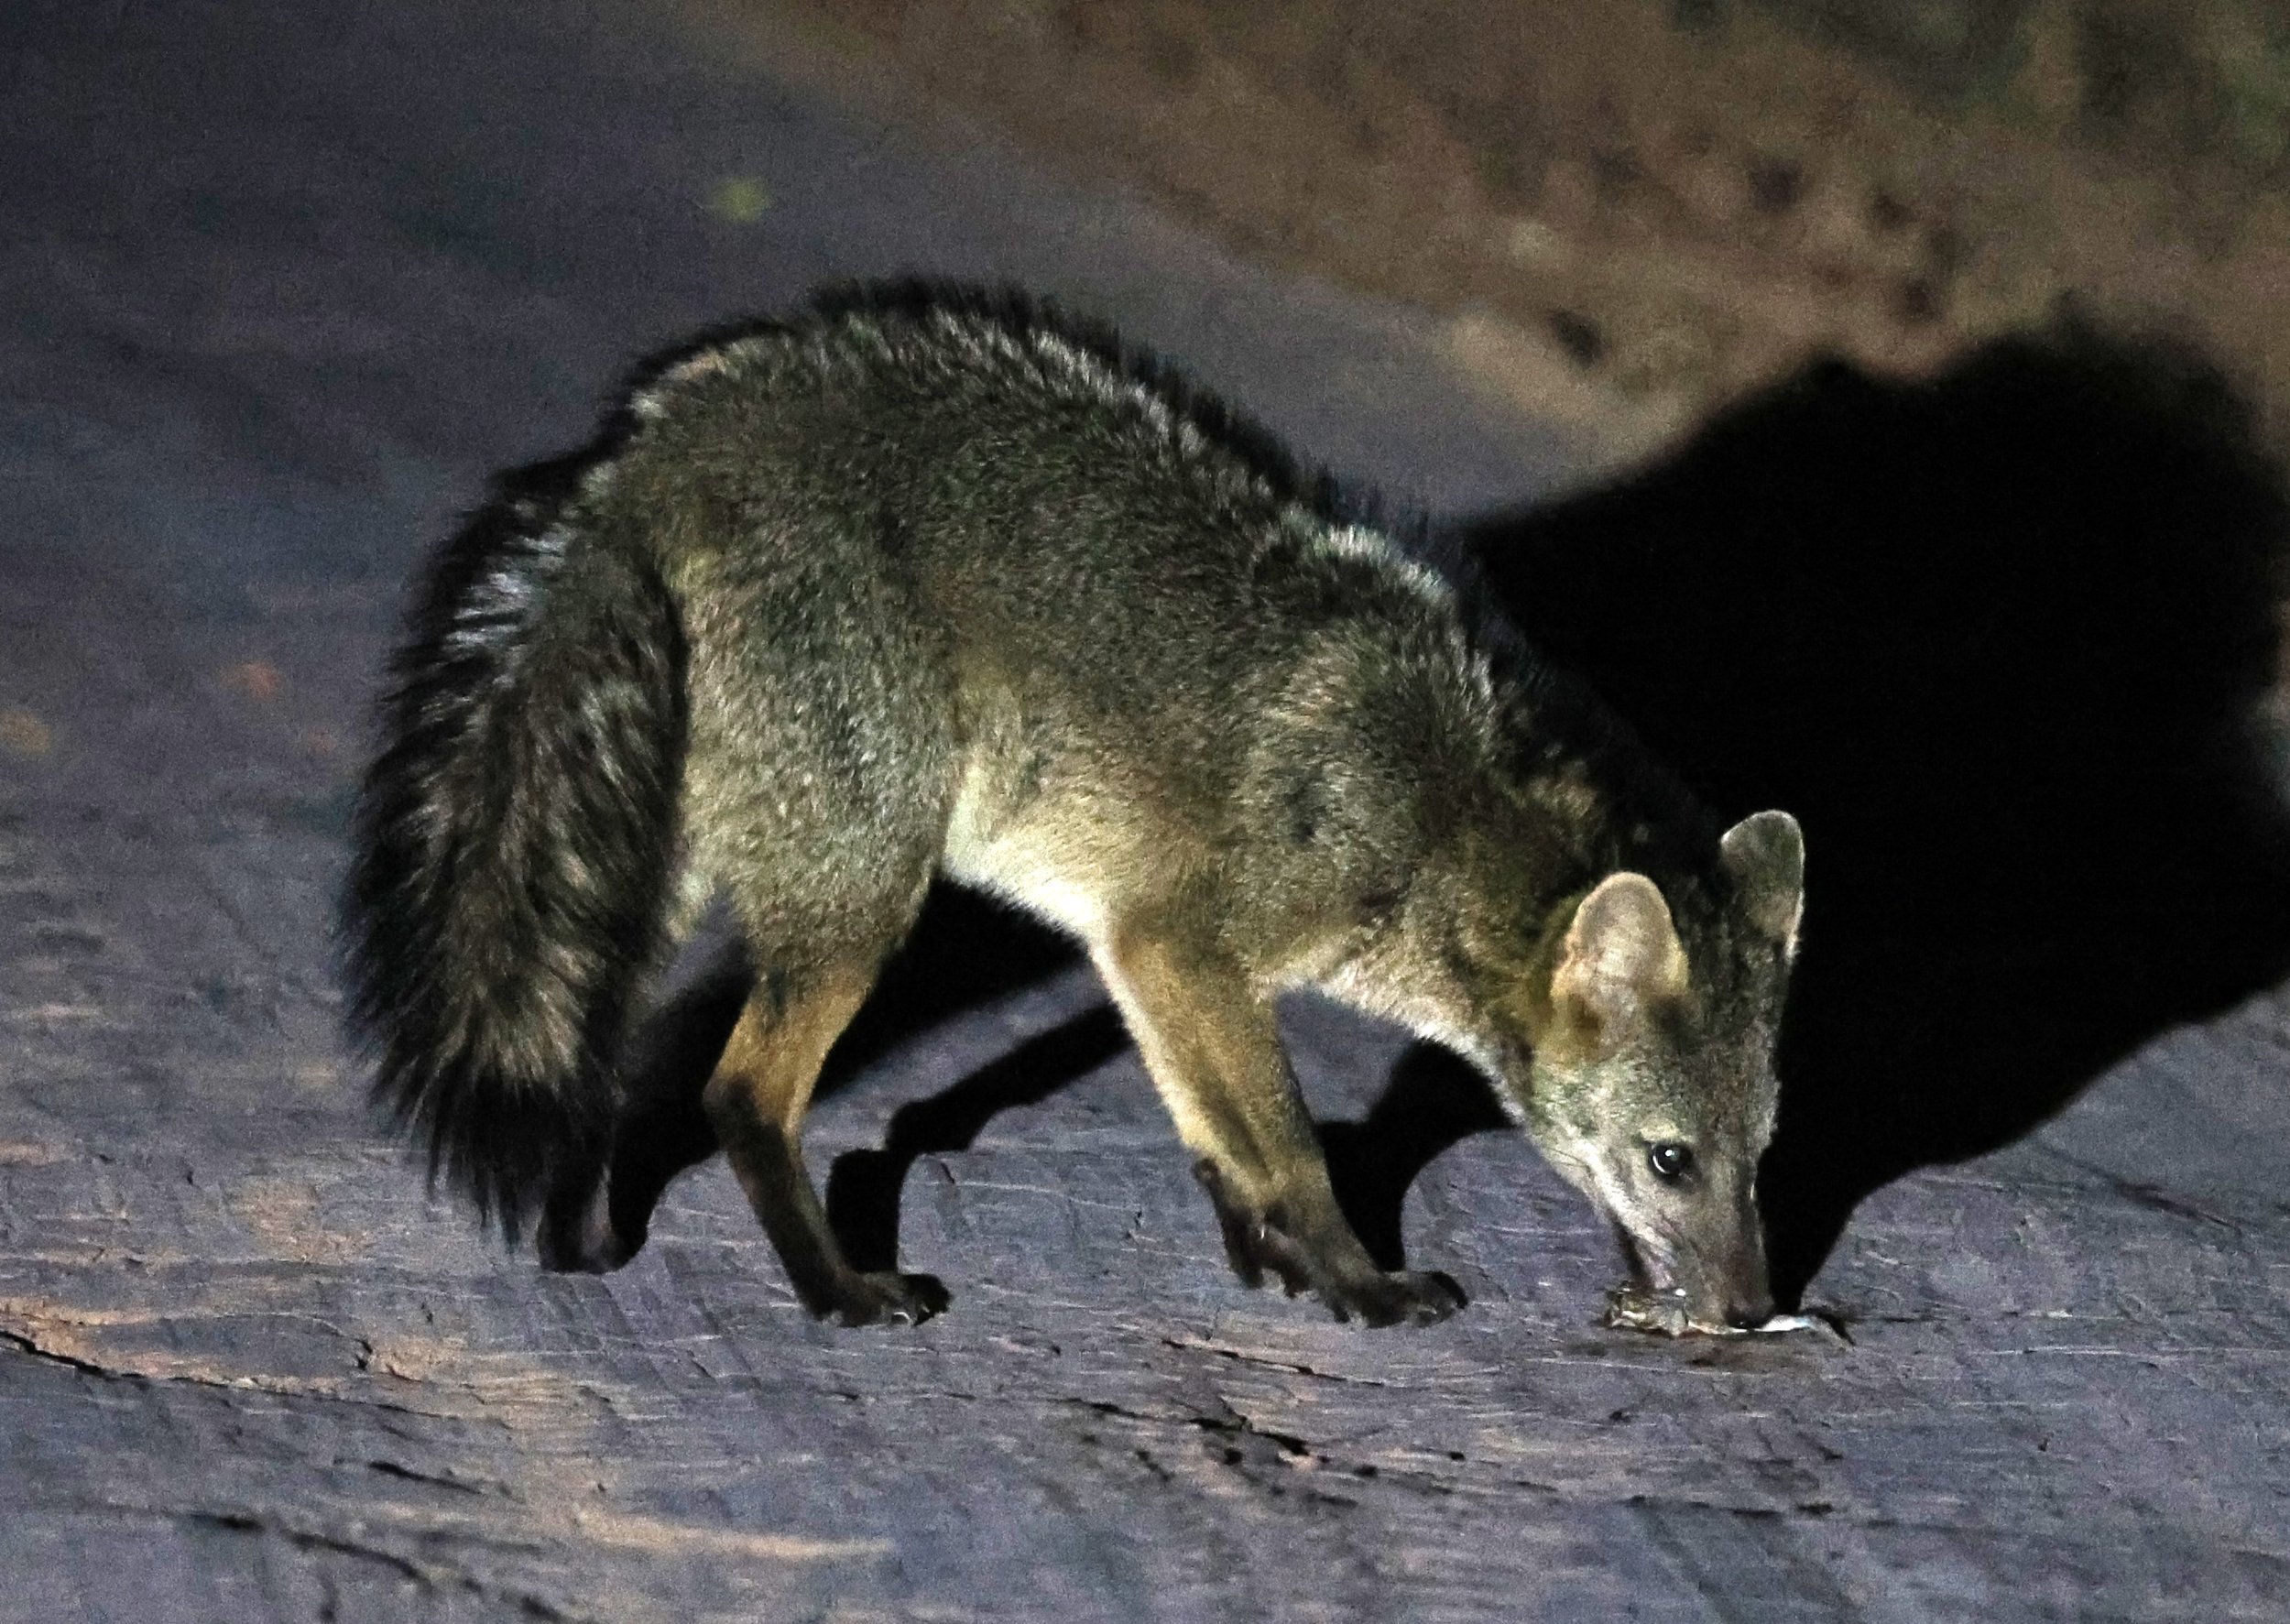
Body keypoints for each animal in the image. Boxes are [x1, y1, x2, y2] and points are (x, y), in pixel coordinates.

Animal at [344, 283, 1804, 1333]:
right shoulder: (1187, 942)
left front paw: (1274, 1259)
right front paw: (1358, 1281)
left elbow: (1218, 1138)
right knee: (737, 1093)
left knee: (605, 1056)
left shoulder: (1133, 944)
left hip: (657, 874)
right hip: (865, 898)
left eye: (1761, 1155)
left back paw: (581, 1236)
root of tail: (659, 435)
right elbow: (1293, 1147)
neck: (1438, 806)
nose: (1750, 1312)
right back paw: (838, 1292)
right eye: (1672, 1162)